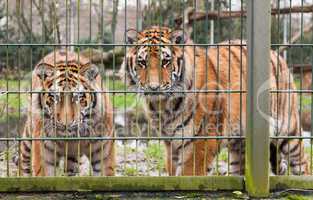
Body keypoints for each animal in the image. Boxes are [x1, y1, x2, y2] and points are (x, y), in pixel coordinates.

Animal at [119, 26, 308, 175]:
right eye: (142, 62)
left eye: (165, 61)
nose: (153, 88)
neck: (164, 105)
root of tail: (276, 53)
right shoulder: (171, 144)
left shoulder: (202, 140)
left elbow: (188, 175)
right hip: (239, 145)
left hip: (288, 129)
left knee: (303, 162)